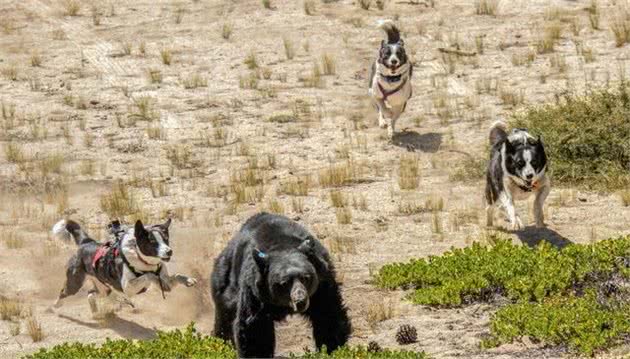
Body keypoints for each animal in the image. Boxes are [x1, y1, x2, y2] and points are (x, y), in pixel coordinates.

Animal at [51, 217, 198, 316]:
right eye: (152, 242)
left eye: (166, 239)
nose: (169, 251)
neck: (143, 260)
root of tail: (86, 242)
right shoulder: (127, 288)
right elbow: (148, 276)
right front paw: (155, 279)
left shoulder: (164, 277)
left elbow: (175, 276)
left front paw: (188, 280)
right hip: (74, 283)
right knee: (63, 293)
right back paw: (54, 307)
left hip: (105, 288)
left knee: (91, 294)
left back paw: (95, 311)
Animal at [211, 212, 350, 358]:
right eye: (284, 283)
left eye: (306, 278)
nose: (300, 300)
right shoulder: (255, 293)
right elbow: (254, 328)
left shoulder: (321, 285)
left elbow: (328, 315)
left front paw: (330, 349)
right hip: (225, 285)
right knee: (225, 319)